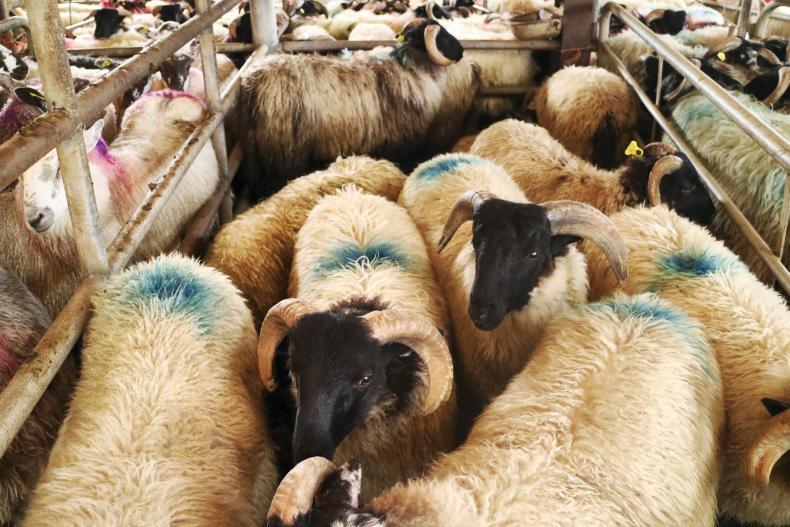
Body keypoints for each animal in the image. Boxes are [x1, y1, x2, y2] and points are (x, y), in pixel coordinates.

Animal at [240, 19, 478, 199]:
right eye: (443, 36)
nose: (462, 51)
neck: (410, 66)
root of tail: (254, 82)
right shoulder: (401, 143)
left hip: (256, 155)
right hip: (282, 154)